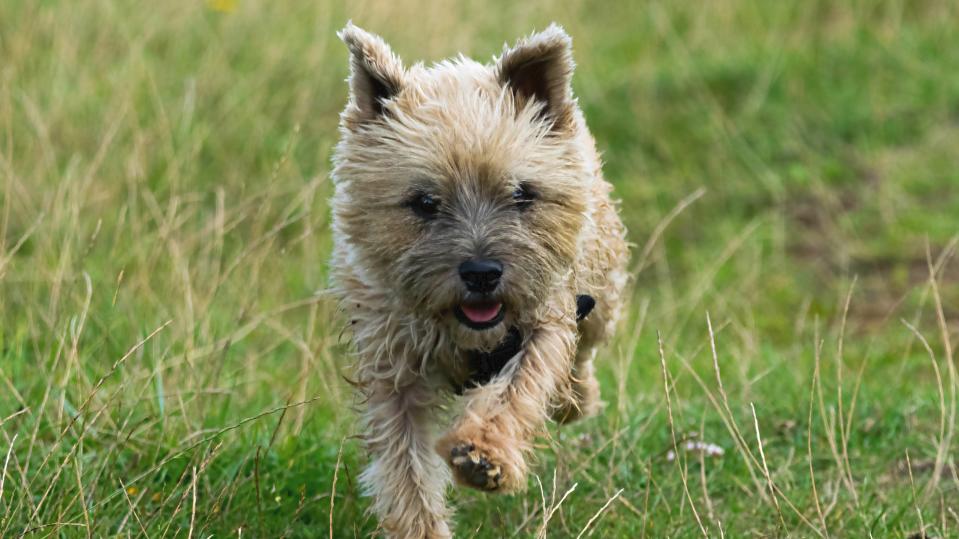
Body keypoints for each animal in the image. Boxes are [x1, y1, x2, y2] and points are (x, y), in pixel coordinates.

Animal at [330, 22, 632, 539]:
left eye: (522, 194)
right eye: (424, 202)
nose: (482, 273)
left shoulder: (545, 319)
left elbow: (517, 388)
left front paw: (483, 452)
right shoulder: (392, 367)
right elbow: (405, 466)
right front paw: (422, 527)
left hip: (601, 285)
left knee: (586, 348)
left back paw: (576, 398)